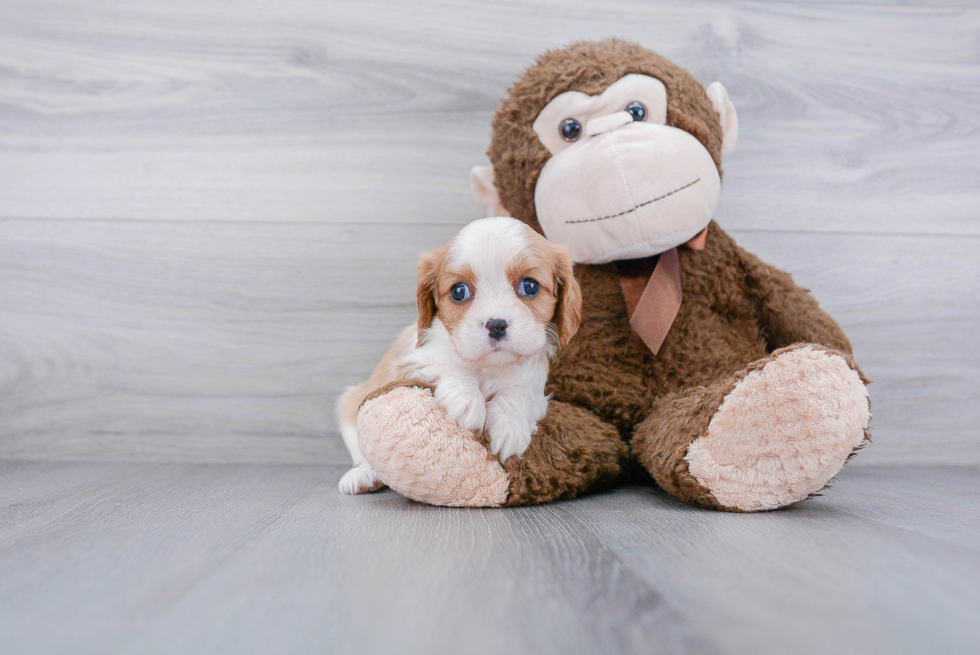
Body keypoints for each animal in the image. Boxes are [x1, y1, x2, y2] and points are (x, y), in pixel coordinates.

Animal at [336, 218, 580, 494]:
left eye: (530, 286)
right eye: (459, 291)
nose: (496, 325)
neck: (487, 367)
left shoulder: (536, 392)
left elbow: (518, 392)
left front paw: (509, 426)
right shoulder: (412, 362)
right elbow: (448, 367)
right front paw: (467, 401)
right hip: (350, 404)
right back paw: (363, 475)